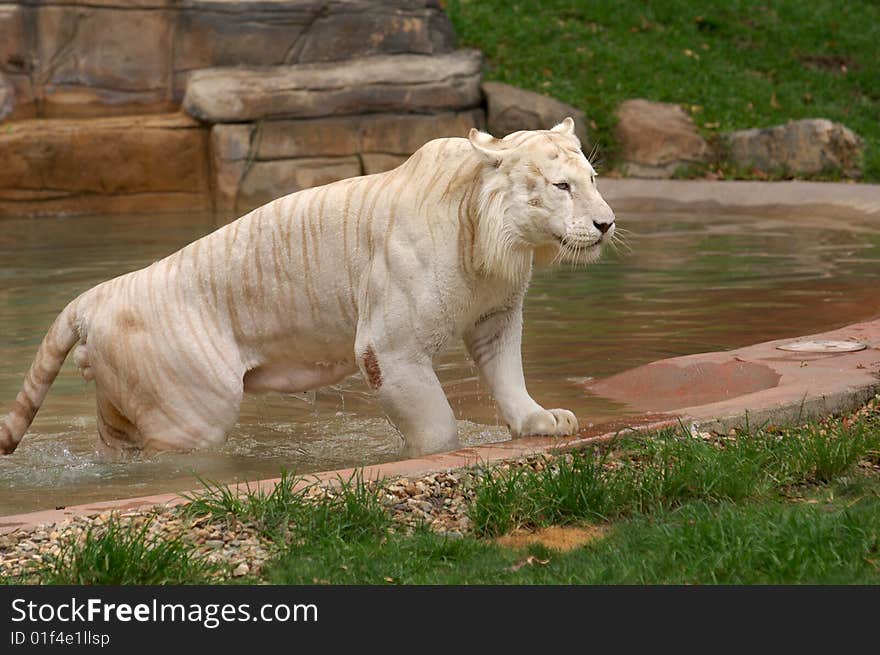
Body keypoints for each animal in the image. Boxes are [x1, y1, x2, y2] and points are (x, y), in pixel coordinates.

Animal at [1, 116, 612, 456]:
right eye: (561, 186)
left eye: (592, 180)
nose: (606, 223)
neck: (492, 240)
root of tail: (96, 294)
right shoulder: (390, 348)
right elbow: (438, 427)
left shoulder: (495, 317)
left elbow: (508, 375)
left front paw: (542, 422)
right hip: (191, 413)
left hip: (123, 411)